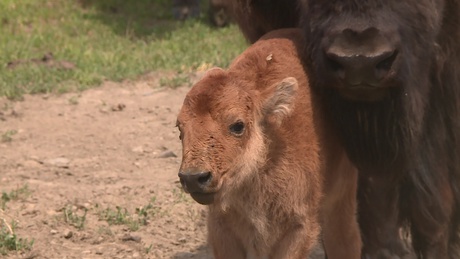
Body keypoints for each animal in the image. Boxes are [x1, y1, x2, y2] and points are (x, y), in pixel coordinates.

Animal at [178, 29, 362, 259]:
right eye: (179, 129)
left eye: (237, 125)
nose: (193, 177)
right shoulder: (221, 226)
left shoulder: (299, 226)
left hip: (340, 196)